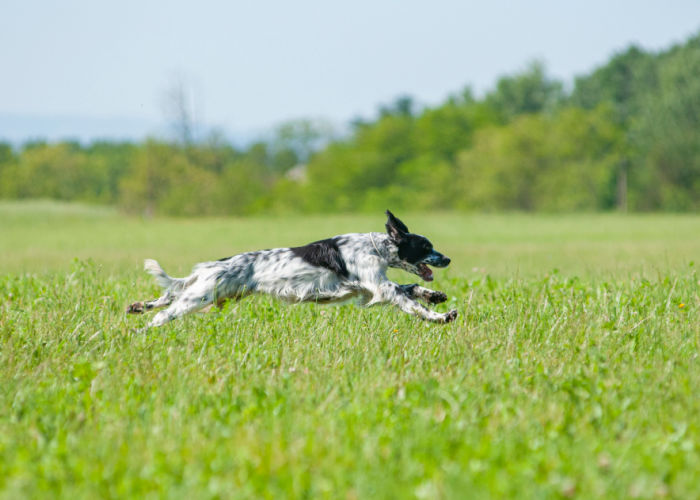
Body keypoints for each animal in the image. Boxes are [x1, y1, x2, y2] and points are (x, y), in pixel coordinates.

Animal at [128, 210, 456, 328]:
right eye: (425, 247)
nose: (447, 259)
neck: (375, 247)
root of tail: (215, 264)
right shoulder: (380, 287)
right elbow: (412, 303)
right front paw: (441, 317)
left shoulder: (369, 290)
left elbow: (413, 289)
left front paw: (436, 296)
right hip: (201, 295)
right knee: (163, 313)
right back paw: (143, 331)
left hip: (206, 292)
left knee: (167, 296)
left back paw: (138, 306)